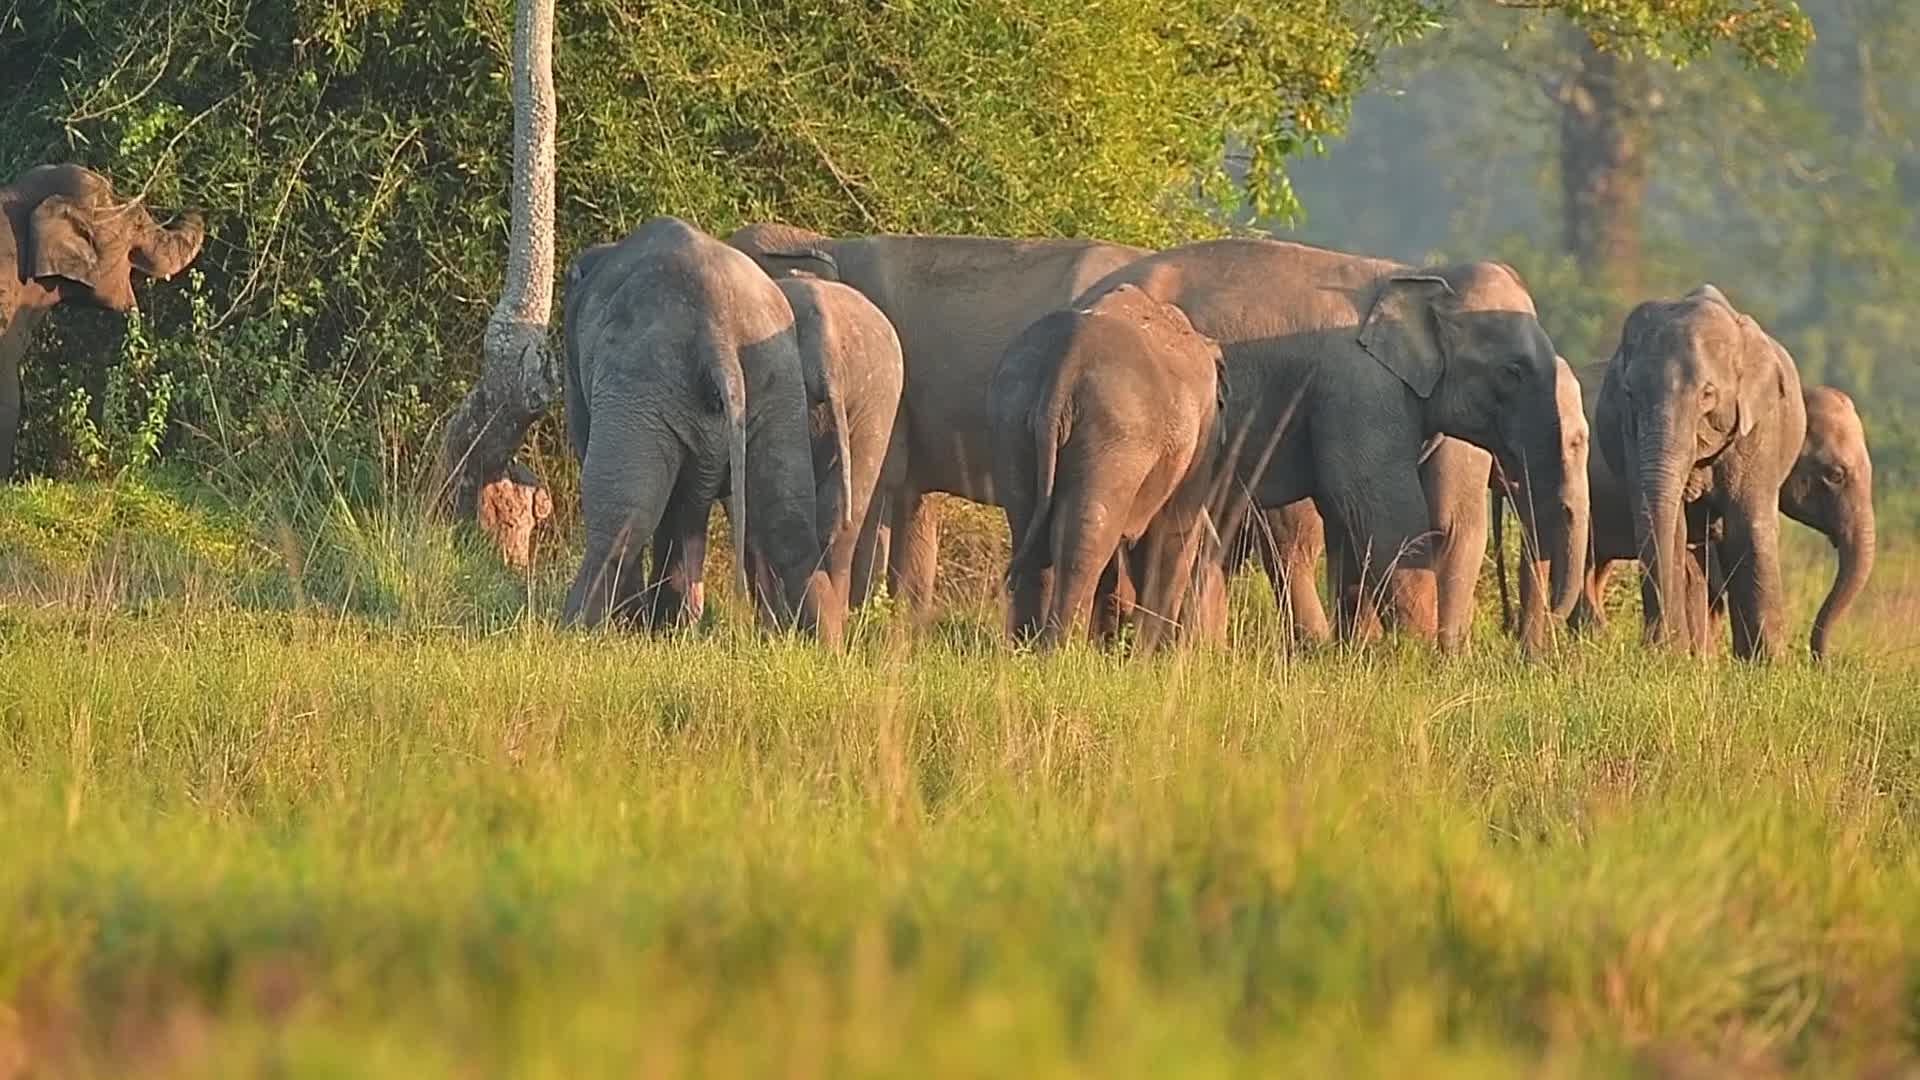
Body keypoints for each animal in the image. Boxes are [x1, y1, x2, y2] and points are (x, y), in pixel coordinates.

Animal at [560, 217, 842, 645]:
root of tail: (719, 332)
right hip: (779, 383)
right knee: (787, 520)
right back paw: (826, 647)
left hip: (641, 379)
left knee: (623, 514)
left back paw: (572, 629)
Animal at [991, 285, 1225, 650]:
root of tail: (1068, 358)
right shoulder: (1202, 434)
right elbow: (1173, 529)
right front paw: (1151, 655)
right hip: (1116, 432)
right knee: (1085, 535)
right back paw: (1061, 651)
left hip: (1013, 416)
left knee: (1030, 527)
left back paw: (1027, 649)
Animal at [1071, 240, 1590, 645]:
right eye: (1512, 371)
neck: (1413, 276)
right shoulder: (1360, 392)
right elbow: (1386, 513)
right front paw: (1415, 656)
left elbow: (1359, 521)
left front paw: (1360, 653)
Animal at [1592, 285, 1806, 660]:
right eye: (1630, 393)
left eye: (1708, 394)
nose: (1653, 644)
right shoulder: (1629, 432)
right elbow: (1670, 525)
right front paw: (1670, 657)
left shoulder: (1760, 427)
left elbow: (1749, 524)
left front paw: (1770, 665)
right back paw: (1698, 659)